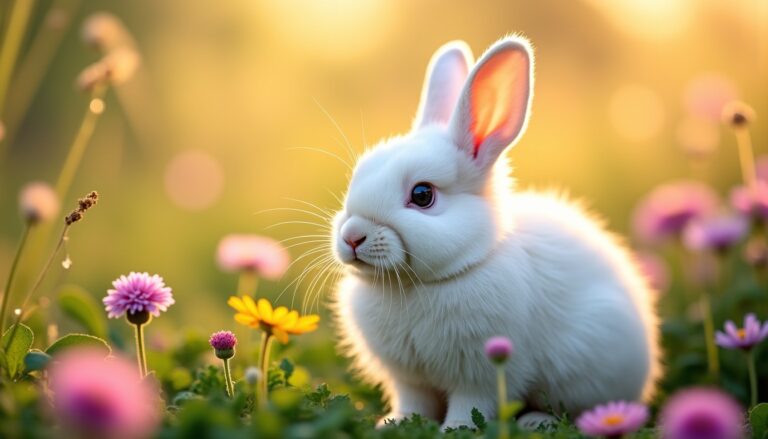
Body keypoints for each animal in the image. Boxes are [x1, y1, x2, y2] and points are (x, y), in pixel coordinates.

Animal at [329, 35, 660, 430]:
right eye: (358, 175)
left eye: (422, 195)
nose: (352, 237)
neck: (415, 285)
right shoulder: (410, 379)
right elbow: (413, 403)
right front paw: (394, 424)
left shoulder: (480, 377)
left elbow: (470, 406)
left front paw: (455, 430)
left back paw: (536, 422)